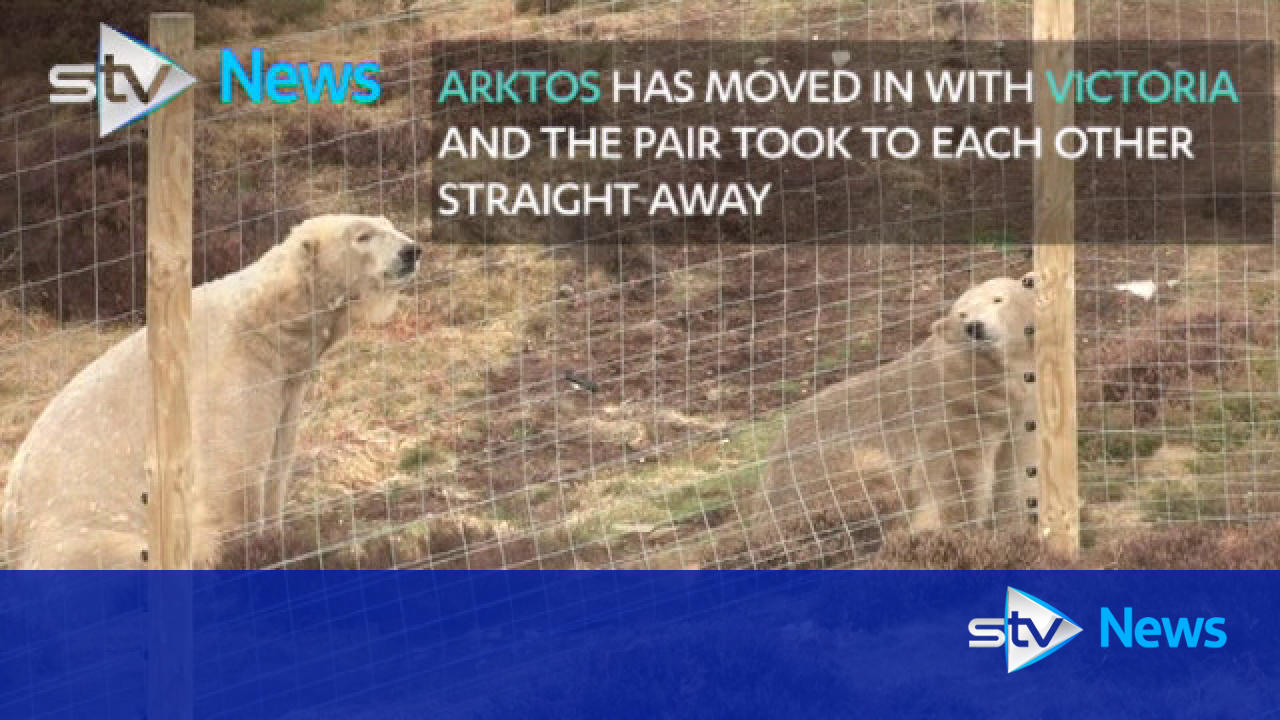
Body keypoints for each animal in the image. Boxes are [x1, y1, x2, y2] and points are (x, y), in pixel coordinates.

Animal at [2, 214, 421, 569]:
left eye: (389, 223)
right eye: (362, 235)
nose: (411, 250)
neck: (266, 320)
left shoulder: (287, 383)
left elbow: (278, 460)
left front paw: (276, 536)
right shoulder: (230, 371)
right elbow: (234, 469)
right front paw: (243, 551)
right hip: (81, 531)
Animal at [737, 274, 1039, 568]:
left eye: (998, 299)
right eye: (962, 314)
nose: (975, 327)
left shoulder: (1011, 419)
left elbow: (1015, 473)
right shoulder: (950, 413)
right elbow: (951, 478)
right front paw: (953, 541)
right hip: (822, 480)